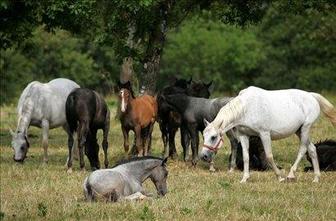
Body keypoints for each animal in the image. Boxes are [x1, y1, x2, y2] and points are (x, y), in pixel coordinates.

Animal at [201, 86, 334, 183]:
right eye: (204, 136)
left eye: (213, 137)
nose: (204, 156)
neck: (246, 108)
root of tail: (311, 96)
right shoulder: (244, 136)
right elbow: (246, 157)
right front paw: (244, 178)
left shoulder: (264, 134)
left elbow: (269, 156)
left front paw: (279, 176)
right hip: (299, 131)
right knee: (312, 149)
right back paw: (316, 178)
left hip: (306, 128)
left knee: (302, 149)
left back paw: (291, 175)